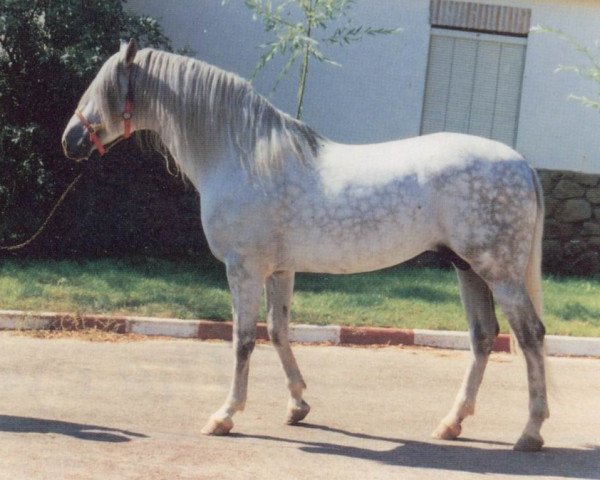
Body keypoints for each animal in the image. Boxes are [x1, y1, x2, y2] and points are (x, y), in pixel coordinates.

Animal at [61, 40, 548, 450]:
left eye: (103, 89)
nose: (70, 140)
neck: (242, 156)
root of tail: (521, 163)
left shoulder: (243, 269)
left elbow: (243, 339)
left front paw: (225, 416)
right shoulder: (279, 270)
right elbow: (278, 331)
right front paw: (297, 405)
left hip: (500, 274)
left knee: (529, 335)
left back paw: (530, 431)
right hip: (468, 269)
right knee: (483, 338)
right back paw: (452, 423)